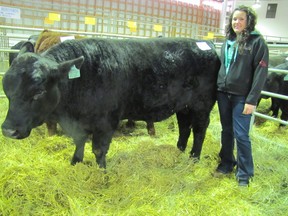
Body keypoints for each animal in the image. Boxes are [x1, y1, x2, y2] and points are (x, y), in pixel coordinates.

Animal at [1, 37, 220, 169]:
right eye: (7, 89)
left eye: (38, 92)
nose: (8, 130)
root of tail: (205, 44)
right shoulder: (79, 123)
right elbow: (79, 141)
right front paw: (75, 163)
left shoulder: (106, 122)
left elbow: (99, 149)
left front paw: (102, 173)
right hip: (183, 106)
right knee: (184, 127)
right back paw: (179, 151)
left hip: (202, 105)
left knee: (199, 130)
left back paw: (194, 158)